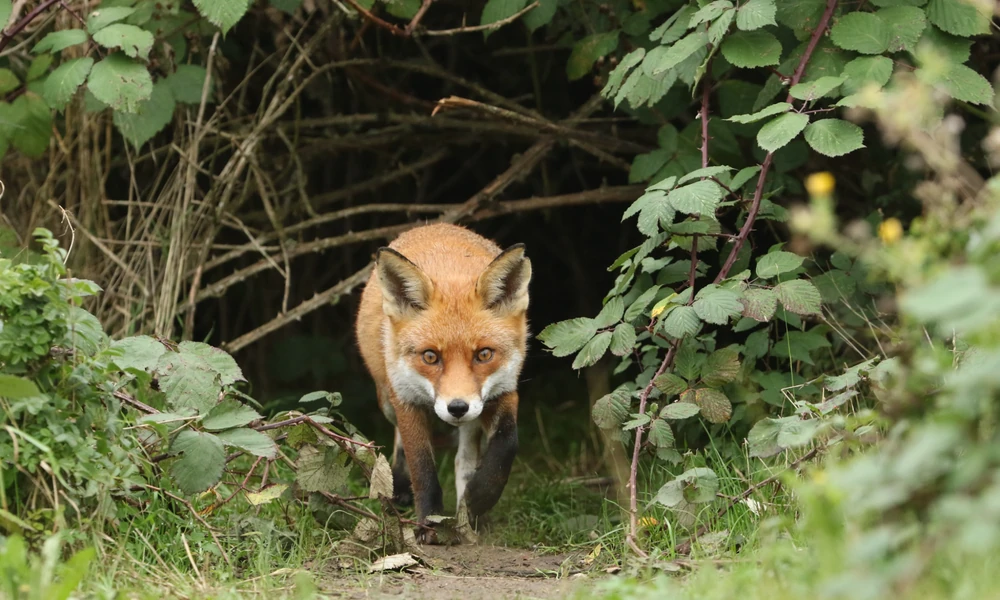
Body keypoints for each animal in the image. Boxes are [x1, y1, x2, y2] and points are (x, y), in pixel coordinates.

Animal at [355, 222, 532, 540]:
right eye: (430, 356)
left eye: (484, 354)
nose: (457, 407)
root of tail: (434, 225)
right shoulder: (406, 399)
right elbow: (422, 466)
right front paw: (429, 521)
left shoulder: (504, 389)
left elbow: (507, 444)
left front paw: (479, 497)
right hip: (386, 398)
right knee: (400, 442)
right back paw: (401, 487)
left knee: (464, 459)